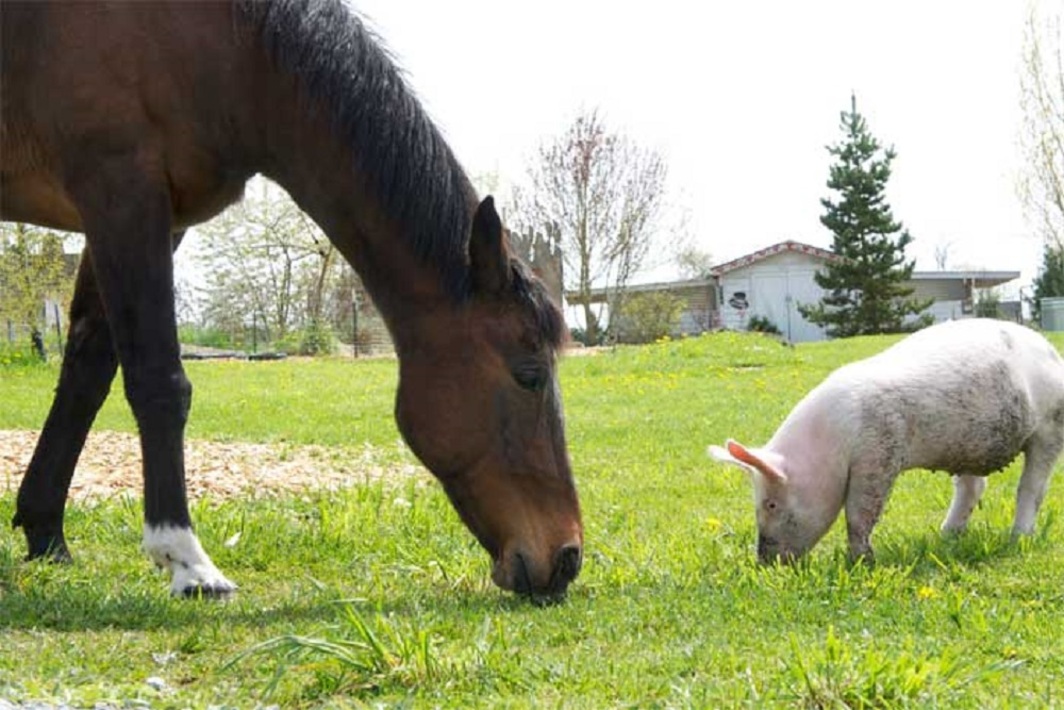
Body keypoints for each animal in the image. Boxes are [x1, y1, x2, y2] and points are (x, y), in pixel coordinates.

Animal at [0, 0, 583, 600]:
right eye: (530, 375)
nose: (566, 557)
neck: (221, 45)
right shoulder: (120, 192)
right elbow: (159, 382)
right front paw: (186, 560)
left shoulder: (155, 217)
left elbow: (87, 374)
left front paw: (46, 534)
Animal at [709, 318, 1064, 563]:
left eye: (771, 503)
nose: (764, 562)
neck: (833, 439)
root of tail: (1052, 353)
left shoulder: (878, 452)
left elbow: (860, 511)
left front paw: (860, 562)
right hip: (968, 445)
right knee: (973, 487)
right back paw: (945, 536)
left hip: (1049, 426)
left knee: (1032, 487)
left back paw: (1018, 539)